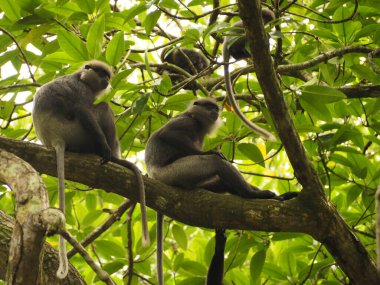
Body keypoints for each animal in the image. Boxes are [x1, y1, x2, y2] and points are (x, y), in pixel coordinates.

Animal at [32, 60, 150, 278]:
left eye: (108, 76)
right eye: (101, 74)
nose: (106, 81)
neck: (80, 77)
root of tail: (55, 139)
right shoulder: (81, 90)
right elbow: (82, 109)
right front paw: (106, 150)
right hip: (77, 134)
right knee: (102, 107)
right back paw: (113, 157)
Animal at [144, 97, 296, 284]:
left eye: (216, 108)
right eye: (210, 107)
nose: (216, 111)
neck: (198, 123)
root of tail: (154, 175)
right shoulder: (187, 122)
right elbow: (166, 135)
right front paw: (210, 151)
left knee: (221, 181)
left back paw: (275, 198)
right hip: (175, 172)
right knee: (216, 163)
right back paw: (251, 194)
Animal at [223, 8, 276, 141]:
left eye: (269, 20)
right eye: (265, 18)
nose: (266, 23)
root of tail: (225, 45)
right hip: (235, 41)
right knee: (243, 37)